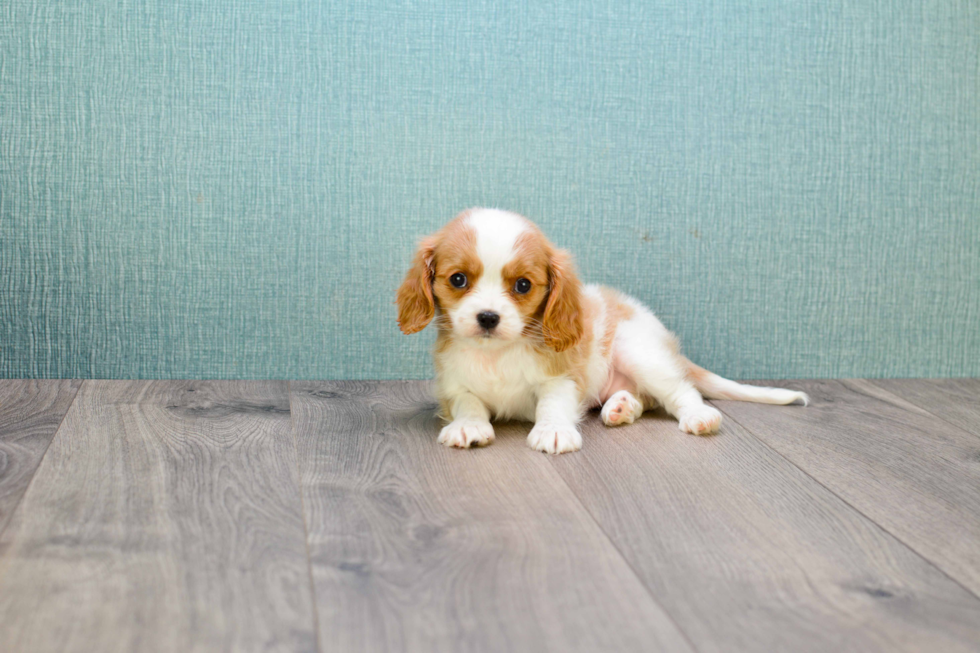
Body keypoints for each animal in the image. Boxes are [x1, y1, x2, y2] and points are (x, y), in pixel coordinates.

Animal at [394, 209, 808, 454]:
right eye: (458, 279)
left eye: (523, 285)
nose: (488, 317)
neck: (498, 353)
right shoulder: (453, 385)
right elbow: (469, 403)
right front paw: (468, 426)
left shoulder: (561, 377)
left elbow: (553, 404)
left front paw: (553, 430)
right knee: (644, 399)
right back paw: (622, 406)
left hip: (636, 350)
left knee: (680, 392)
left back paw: (697, 416)